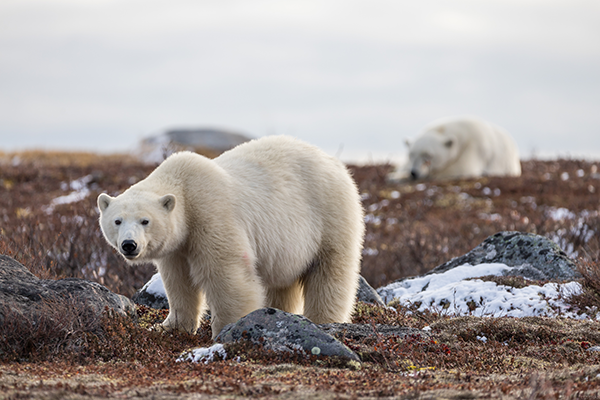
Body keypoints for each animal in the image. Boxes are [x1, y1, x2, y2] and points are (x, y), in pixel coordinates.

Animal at [97, 136, 366, 340]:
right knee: (282, 282)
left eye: (145, 221)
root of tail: (335, 162)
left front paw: (226, 330)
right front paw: (169, 327)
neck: (184, 189)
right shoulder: (177, 248)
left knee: (330, 274)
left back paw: (324, 321)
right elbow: (179, 283)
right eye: (117, 221)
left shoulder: (211, 216)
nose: (129, 245)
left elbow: (228, 276)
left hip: (330, 216)